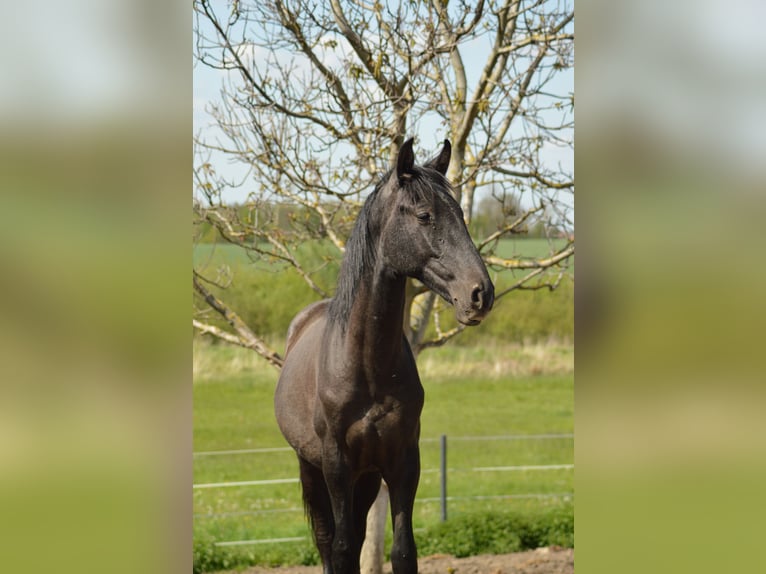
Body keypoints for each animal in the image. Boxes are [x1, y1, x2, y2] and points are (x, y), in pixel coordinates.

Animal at [276, 140, 498, 574]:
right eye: (425, 215)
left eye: (462, 215)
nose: (480, 294)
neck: (367, 366)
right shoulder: (337, 465)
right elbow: (342, 549)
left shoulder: (402, 462)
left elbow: (402, 551)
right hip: (311, 467)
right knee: (327, 542)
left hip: (366, 478)